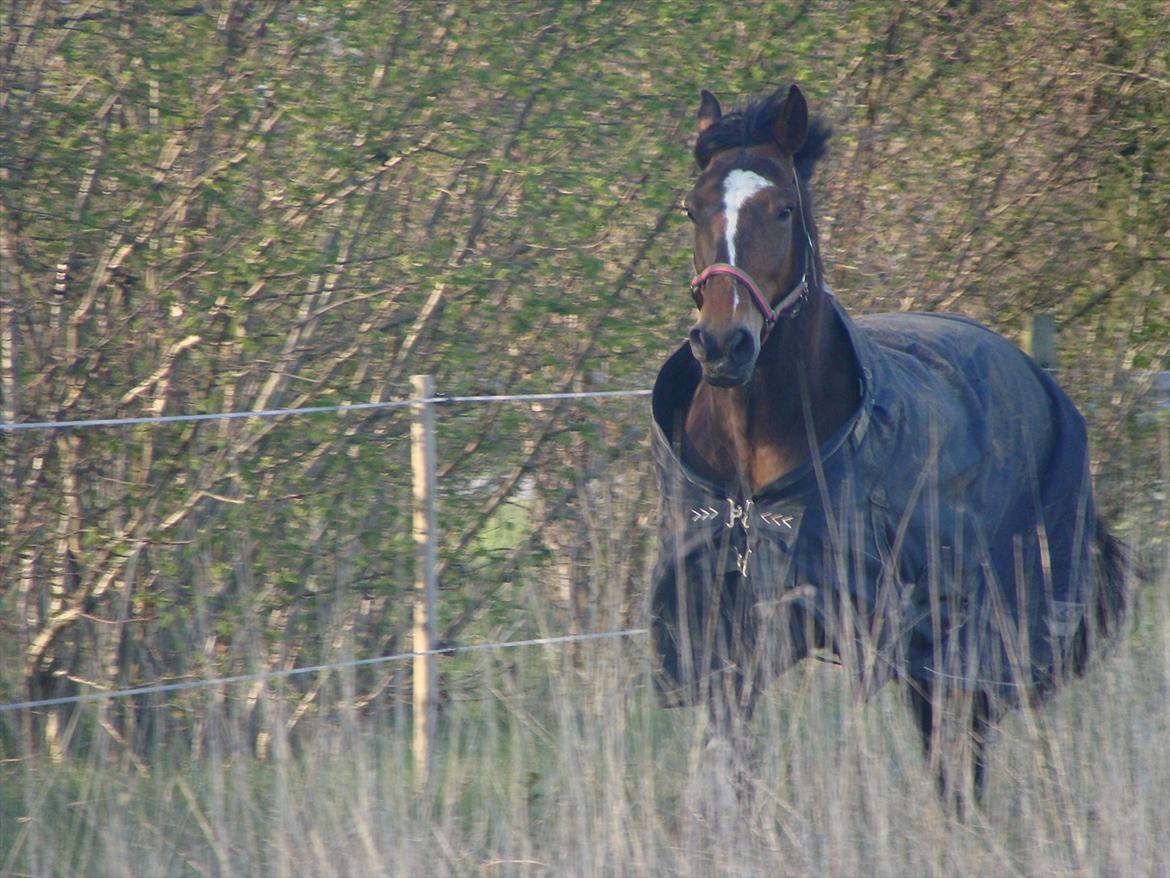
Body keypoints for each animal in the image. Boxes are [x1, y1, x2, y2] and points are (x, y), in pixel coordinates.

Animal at [655, 84, 1127, 810]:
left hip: (965, 637)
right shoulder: (719, 626)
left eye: (783, 209)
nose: (722, 345)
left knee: (959, 755)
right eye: (692, 207)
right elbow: (725, 748)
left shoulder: (834, 614)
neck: (754, 485)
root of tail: (1035, 374)